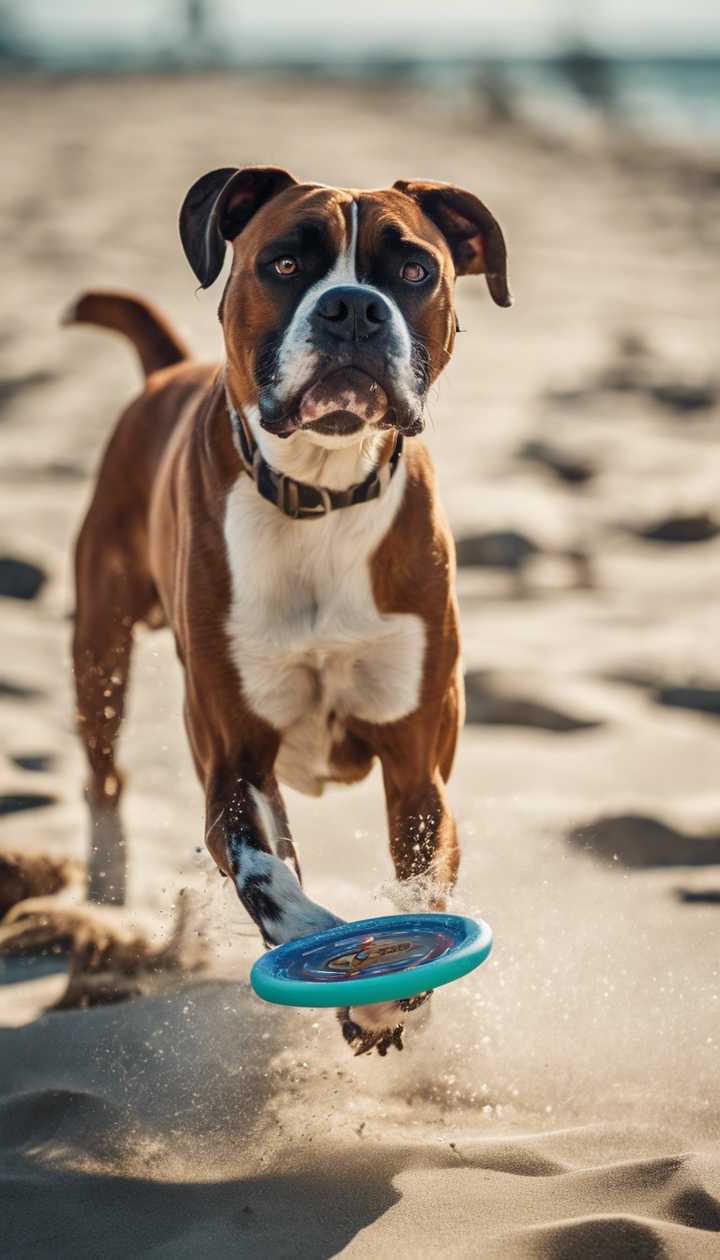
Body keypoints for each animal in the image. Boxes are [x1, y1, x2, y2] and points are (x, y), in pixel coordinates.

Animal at [64, 165, 509, 1053]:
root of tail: (165, 370)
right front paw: (342, 959)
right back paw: (106, 887)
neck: (321, 493)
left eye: (415, 270)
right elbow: (267, 874)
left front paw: (390, 995)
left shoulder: (419, 771)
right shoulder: (233, 762)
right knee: (103, 767)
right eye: (284, 263)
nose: (353, 308)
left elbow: (421, 882)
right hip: (100, 643)